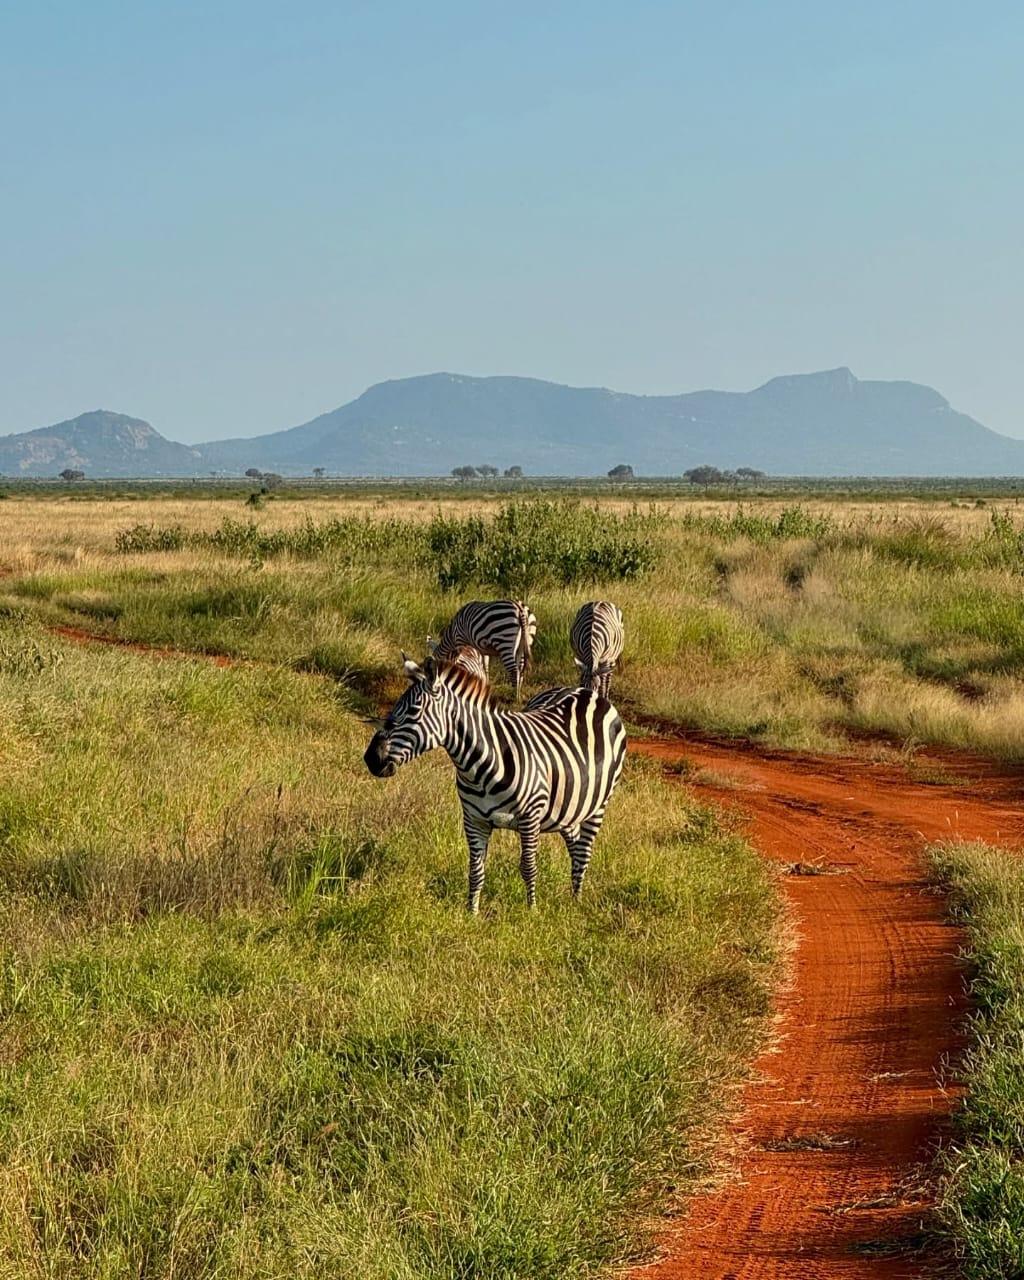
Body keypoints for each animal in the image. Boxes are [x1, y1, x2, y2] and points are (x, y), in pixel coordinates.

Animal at [364, 657, 627, 911]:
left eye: (414, 710)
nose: (370, 759)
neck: (479, 768)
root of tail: (585, 691)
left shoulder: (530, 817)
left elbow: (528, 867)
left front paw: (532, 912)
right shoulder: (474, 820)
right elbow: (475, 871)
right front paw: (471, 913)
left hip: (598, 804)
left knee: (583, 852)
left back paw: (576, 901)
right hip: (566, 807)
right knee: (574, 844)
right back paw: (573, 897)